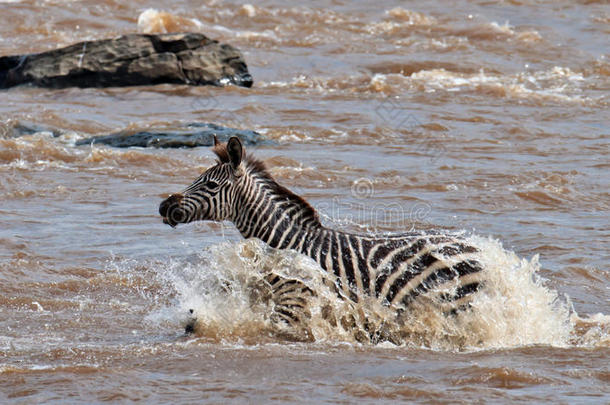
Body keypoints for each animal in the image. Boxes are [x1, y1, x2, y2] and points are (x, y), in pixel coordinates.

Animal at [159, 136, 482, 340]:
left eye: (211, 185)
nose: (164, 206)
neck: (288, 243)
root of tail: (474, 249)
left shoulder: (295, 305)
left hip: (453, 306)